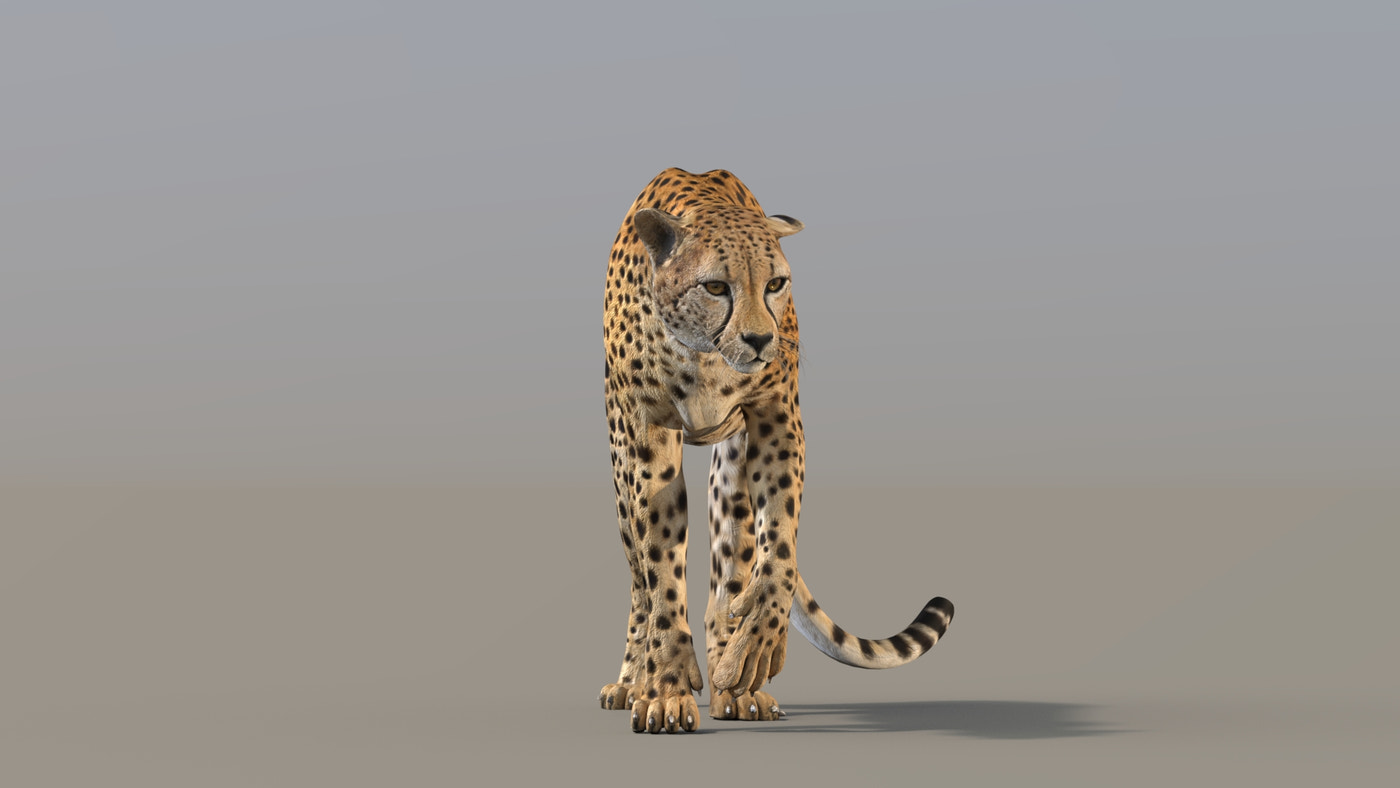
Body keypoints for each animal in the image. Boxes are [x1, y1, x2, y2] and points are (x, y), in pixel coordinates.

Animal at [599, 167, 954, 734]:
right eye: (715, 286)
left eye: (775, 284)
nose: (761, 340)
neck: (704, 355)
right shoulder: (645, 436)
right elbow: (659, 571)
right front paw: (665, 690)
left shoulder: (775, 420)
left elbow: (777, 545)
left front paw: (753, 643)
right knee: (639, 577)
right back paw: (633, 680)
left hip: (729, 467)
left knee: (731, 557)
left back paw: (734, 682)